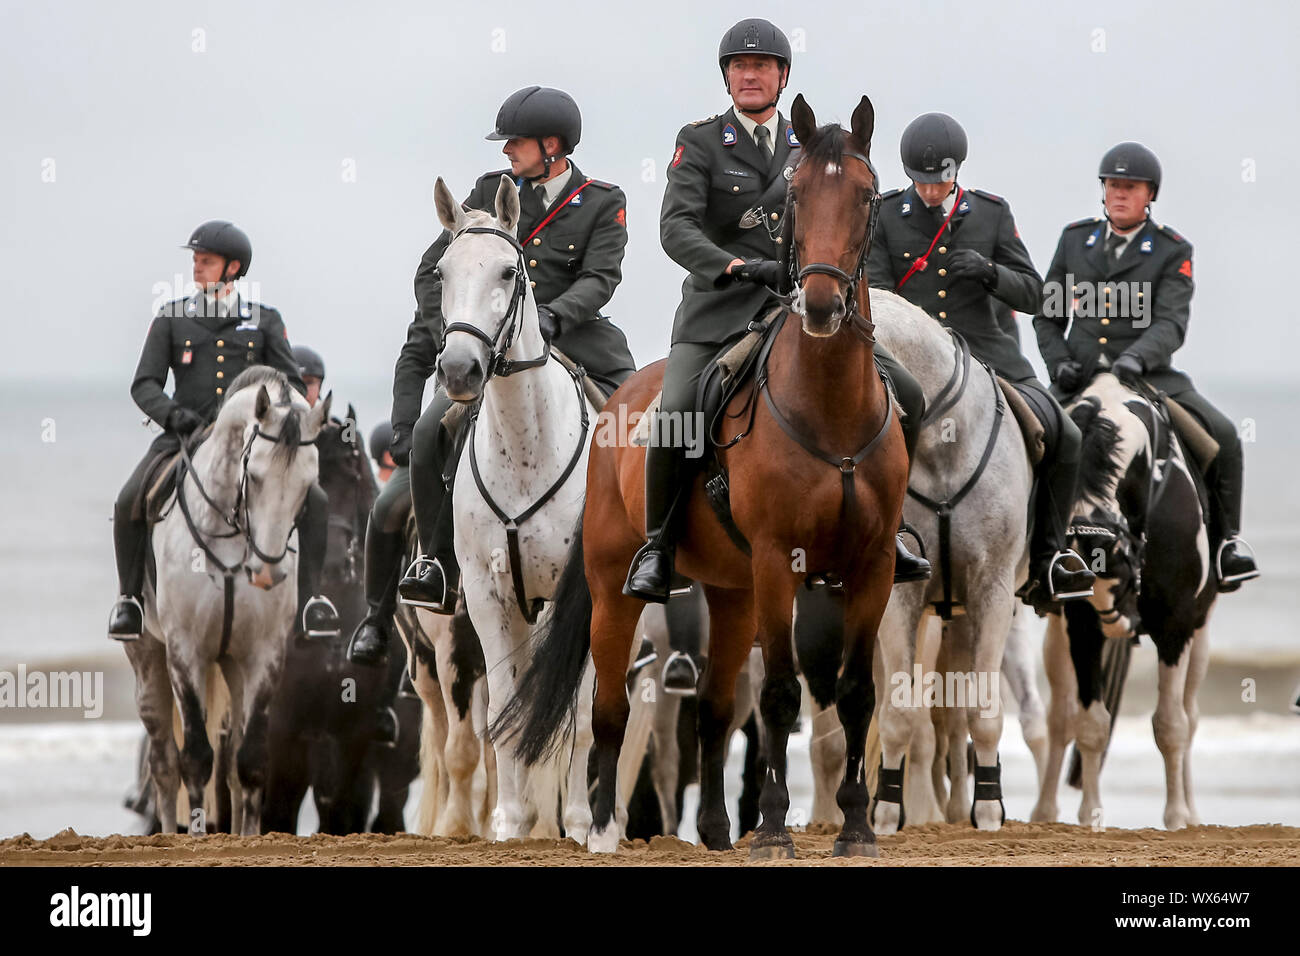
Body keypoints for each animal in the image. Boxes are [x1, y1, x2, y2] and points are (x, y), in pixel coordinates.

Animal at [491, 95, 909, 858]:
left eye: (866, 197)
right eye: (798, 197)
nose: (821, 306)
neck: (829, 407)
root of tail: (614, 398)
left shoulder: (872, 567)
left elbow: (856, 691)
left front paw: (857, 828)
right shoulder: (778, 562)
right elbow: (779, 694)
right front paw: (773, 832)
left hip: (732, 591)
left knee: (713, 710)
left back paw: (714, 831)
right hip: (616, 587)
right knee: (609, 708)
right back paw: (602, 829)